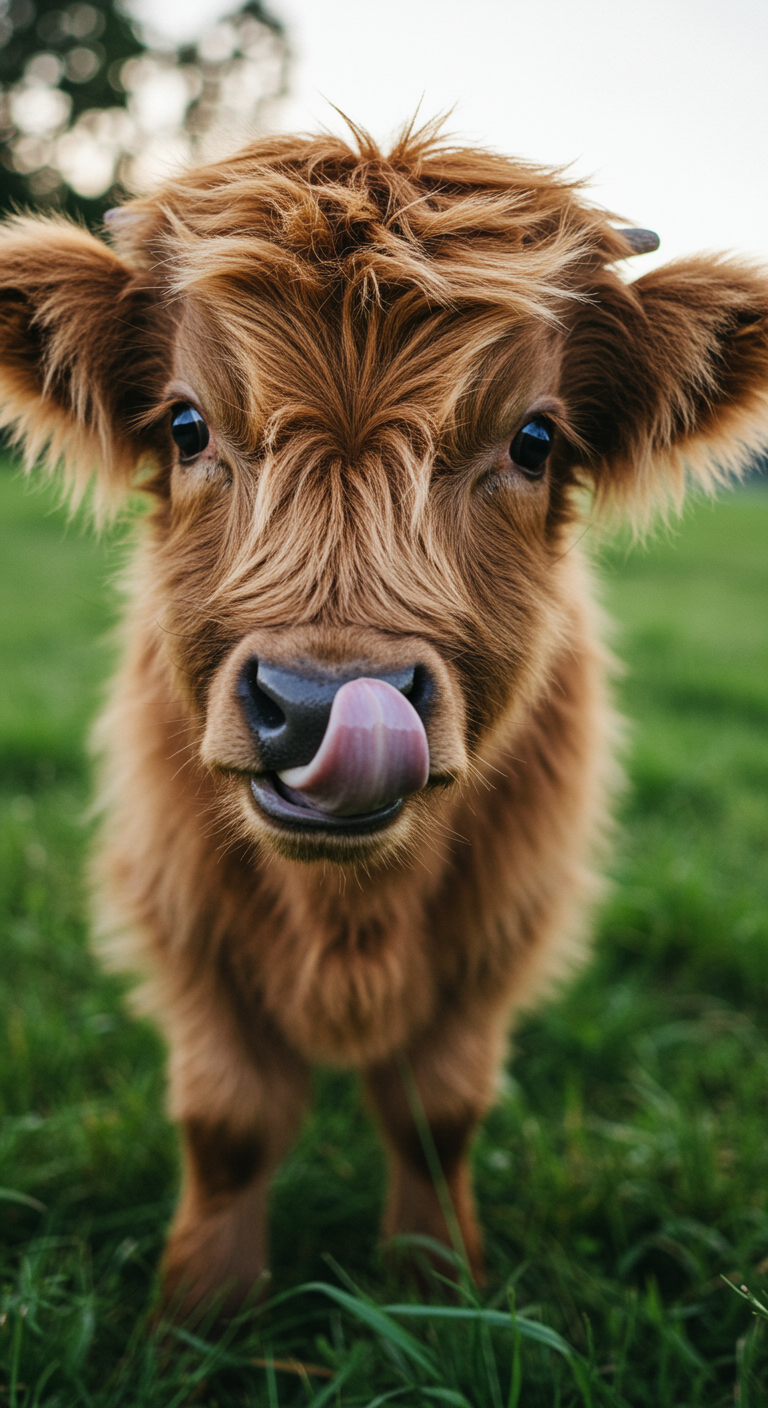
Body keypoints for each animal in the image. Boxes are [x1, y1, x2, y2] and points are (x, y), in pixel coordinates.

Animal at [1, 123, 766, 1318]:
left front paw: (437, 1289)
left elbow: (436, 1111)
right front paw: (199, 1311)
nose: (318, 706)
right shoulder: (181, 911)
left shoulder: (503, 924)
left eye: (535, 440)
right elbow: (228, 1120)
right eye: (186, 425)